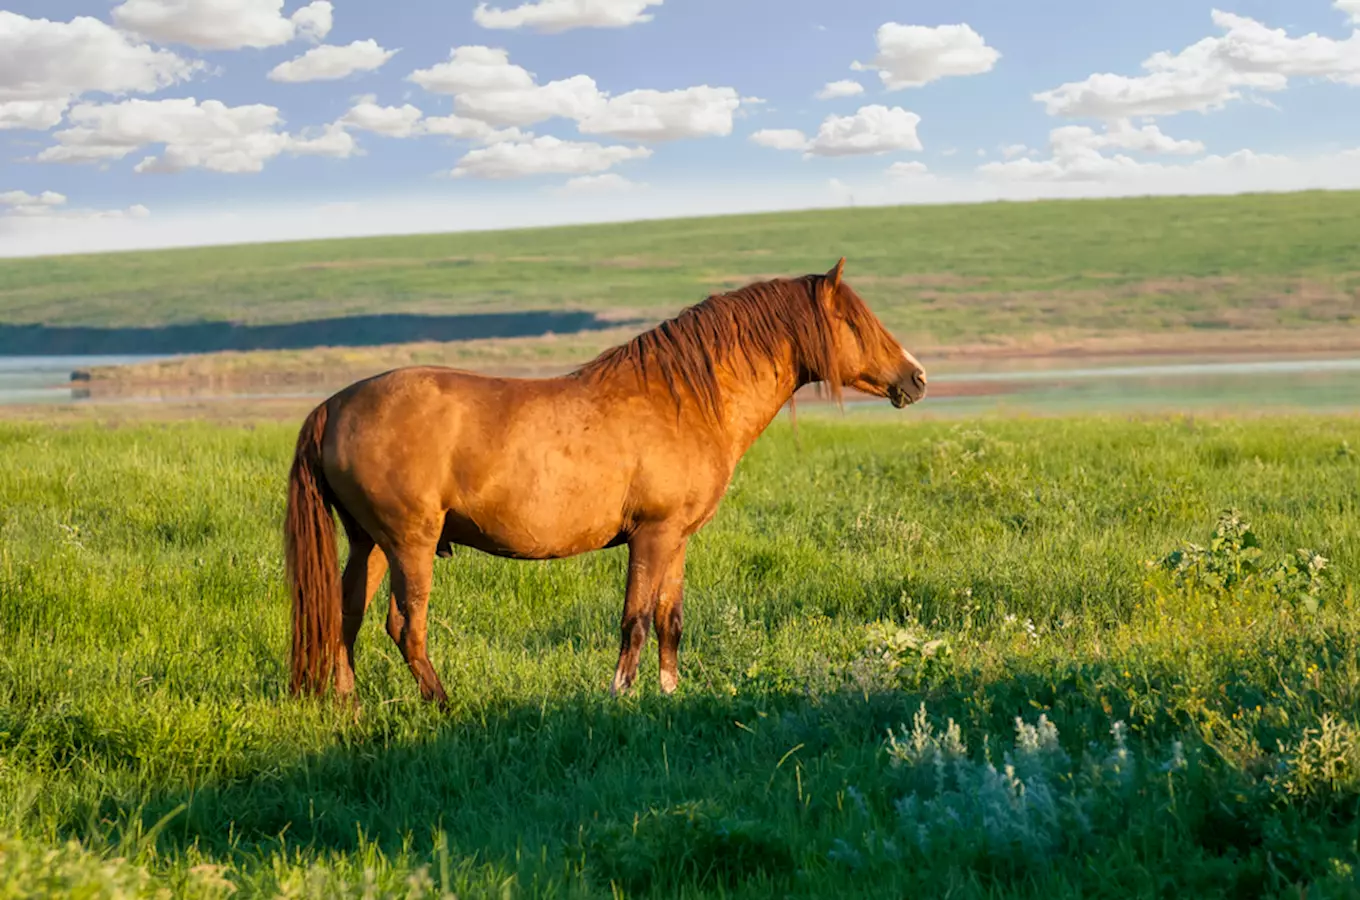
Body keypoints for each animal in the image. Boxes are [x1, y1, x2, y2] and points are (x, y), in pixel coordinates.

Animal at [282, 256, 930, 706]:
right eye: (853, 321)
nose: (917, 377)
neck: (683, 399)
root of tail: (333, 406)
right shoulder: (651, 536)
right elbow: (634, 621)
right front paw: (620, 697)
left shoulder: (677, 540)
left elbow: (669, 620)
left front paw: (670, 695)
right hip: (409, 545)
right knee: (405, 627)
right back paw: (445, 706)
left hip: (369, 544)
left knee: (345, 617)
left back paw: (349, 706)